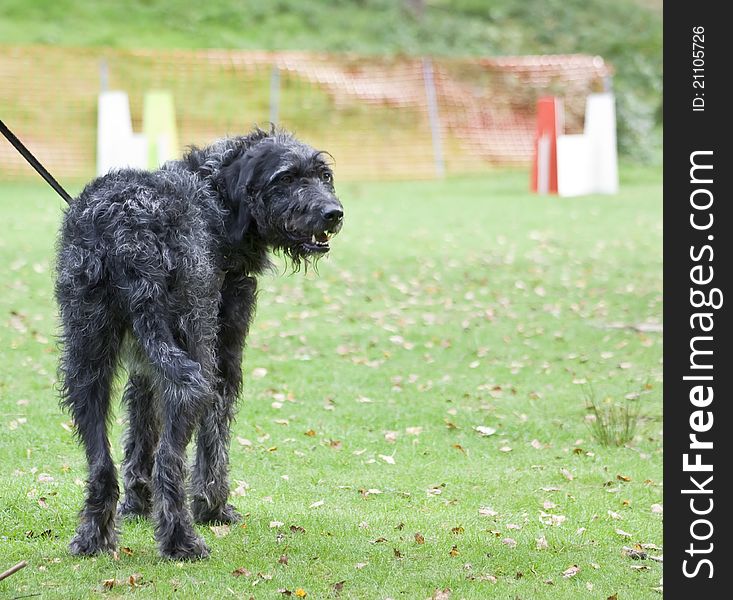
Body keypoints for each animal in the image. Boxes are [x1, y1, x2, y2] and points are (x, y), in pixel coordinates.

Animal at [56, 126, 344, 556]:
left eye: (323, 175)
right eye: (287, 178)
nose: (333, 213)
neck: (216, 199)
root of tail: (128, 227)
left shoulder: (145, 365)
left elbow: (139, 429)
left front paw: (137, 505)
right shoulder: (222, 355)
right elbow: (215, 437)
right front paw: (213, 507)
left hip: (87, 359)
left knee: (101, 462)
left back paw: (94, 536)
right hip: (192, 356)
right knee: (169, 457)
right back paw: (181, 539)